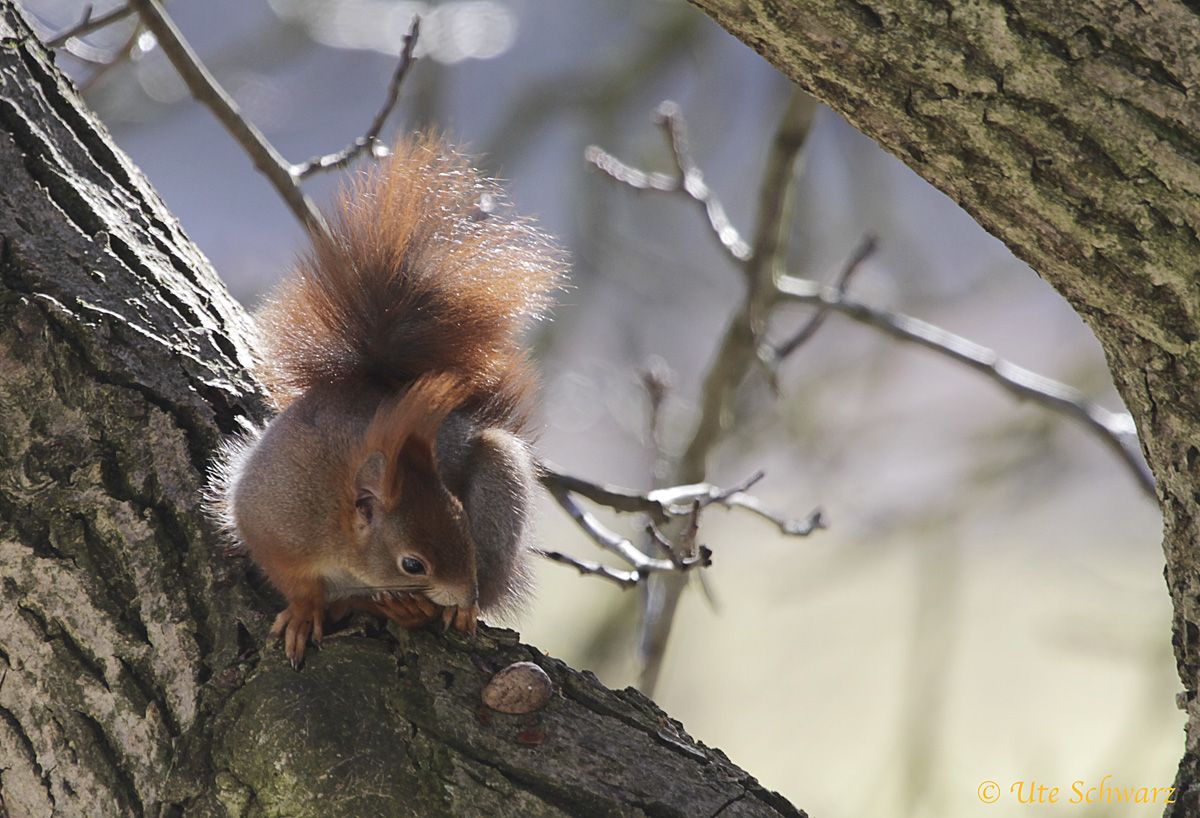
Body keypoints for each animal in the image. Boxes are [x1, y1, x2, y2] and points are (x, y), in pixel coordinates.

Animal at [208, 133, 564, 666]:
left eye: (462, 520)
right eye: (413, 563)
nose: (466, 590)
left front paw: (444, 606)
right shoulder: (270, 524)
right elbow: (293, 579)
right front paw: (304, 611)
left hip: (501, 483)